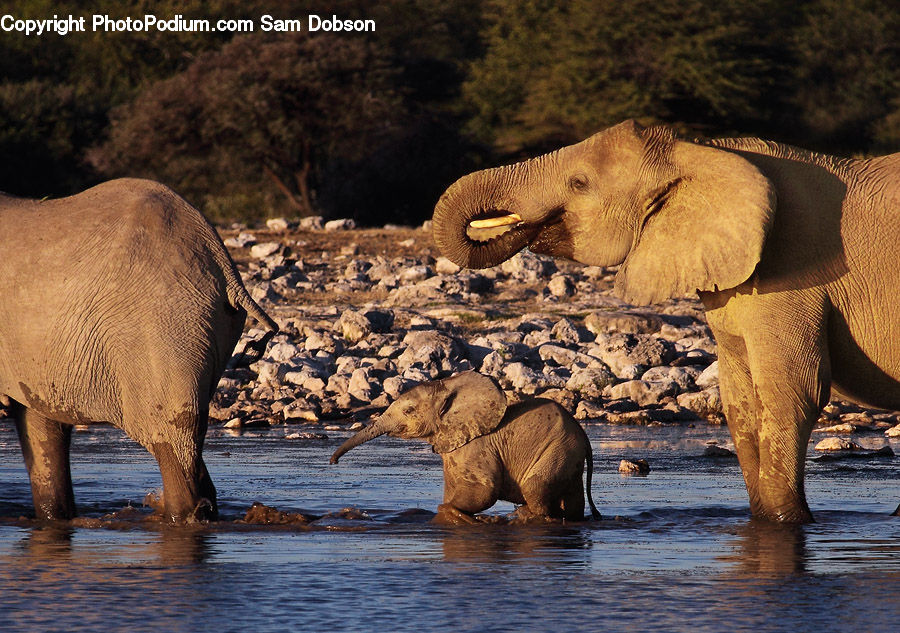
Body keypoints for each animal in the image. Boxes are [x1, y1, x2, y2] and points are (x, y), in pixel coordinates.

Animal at [329, 371, 601, 523]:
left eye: (408, 410)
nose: (333, 462)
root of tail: (584, 436)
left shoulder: (477, 447)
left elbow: (484, 491)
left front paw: (458, 515)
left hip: (558, 448)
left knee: (534, 488)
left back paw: (527, 518)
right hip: (568, 453)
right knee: (572, 498)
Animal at [432, 119, 900, 523]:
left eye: (579, 183)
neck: (698, 153)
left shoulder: (795, 277)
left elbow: (791, 392)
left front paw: (788, 523)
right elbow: (740, 401)